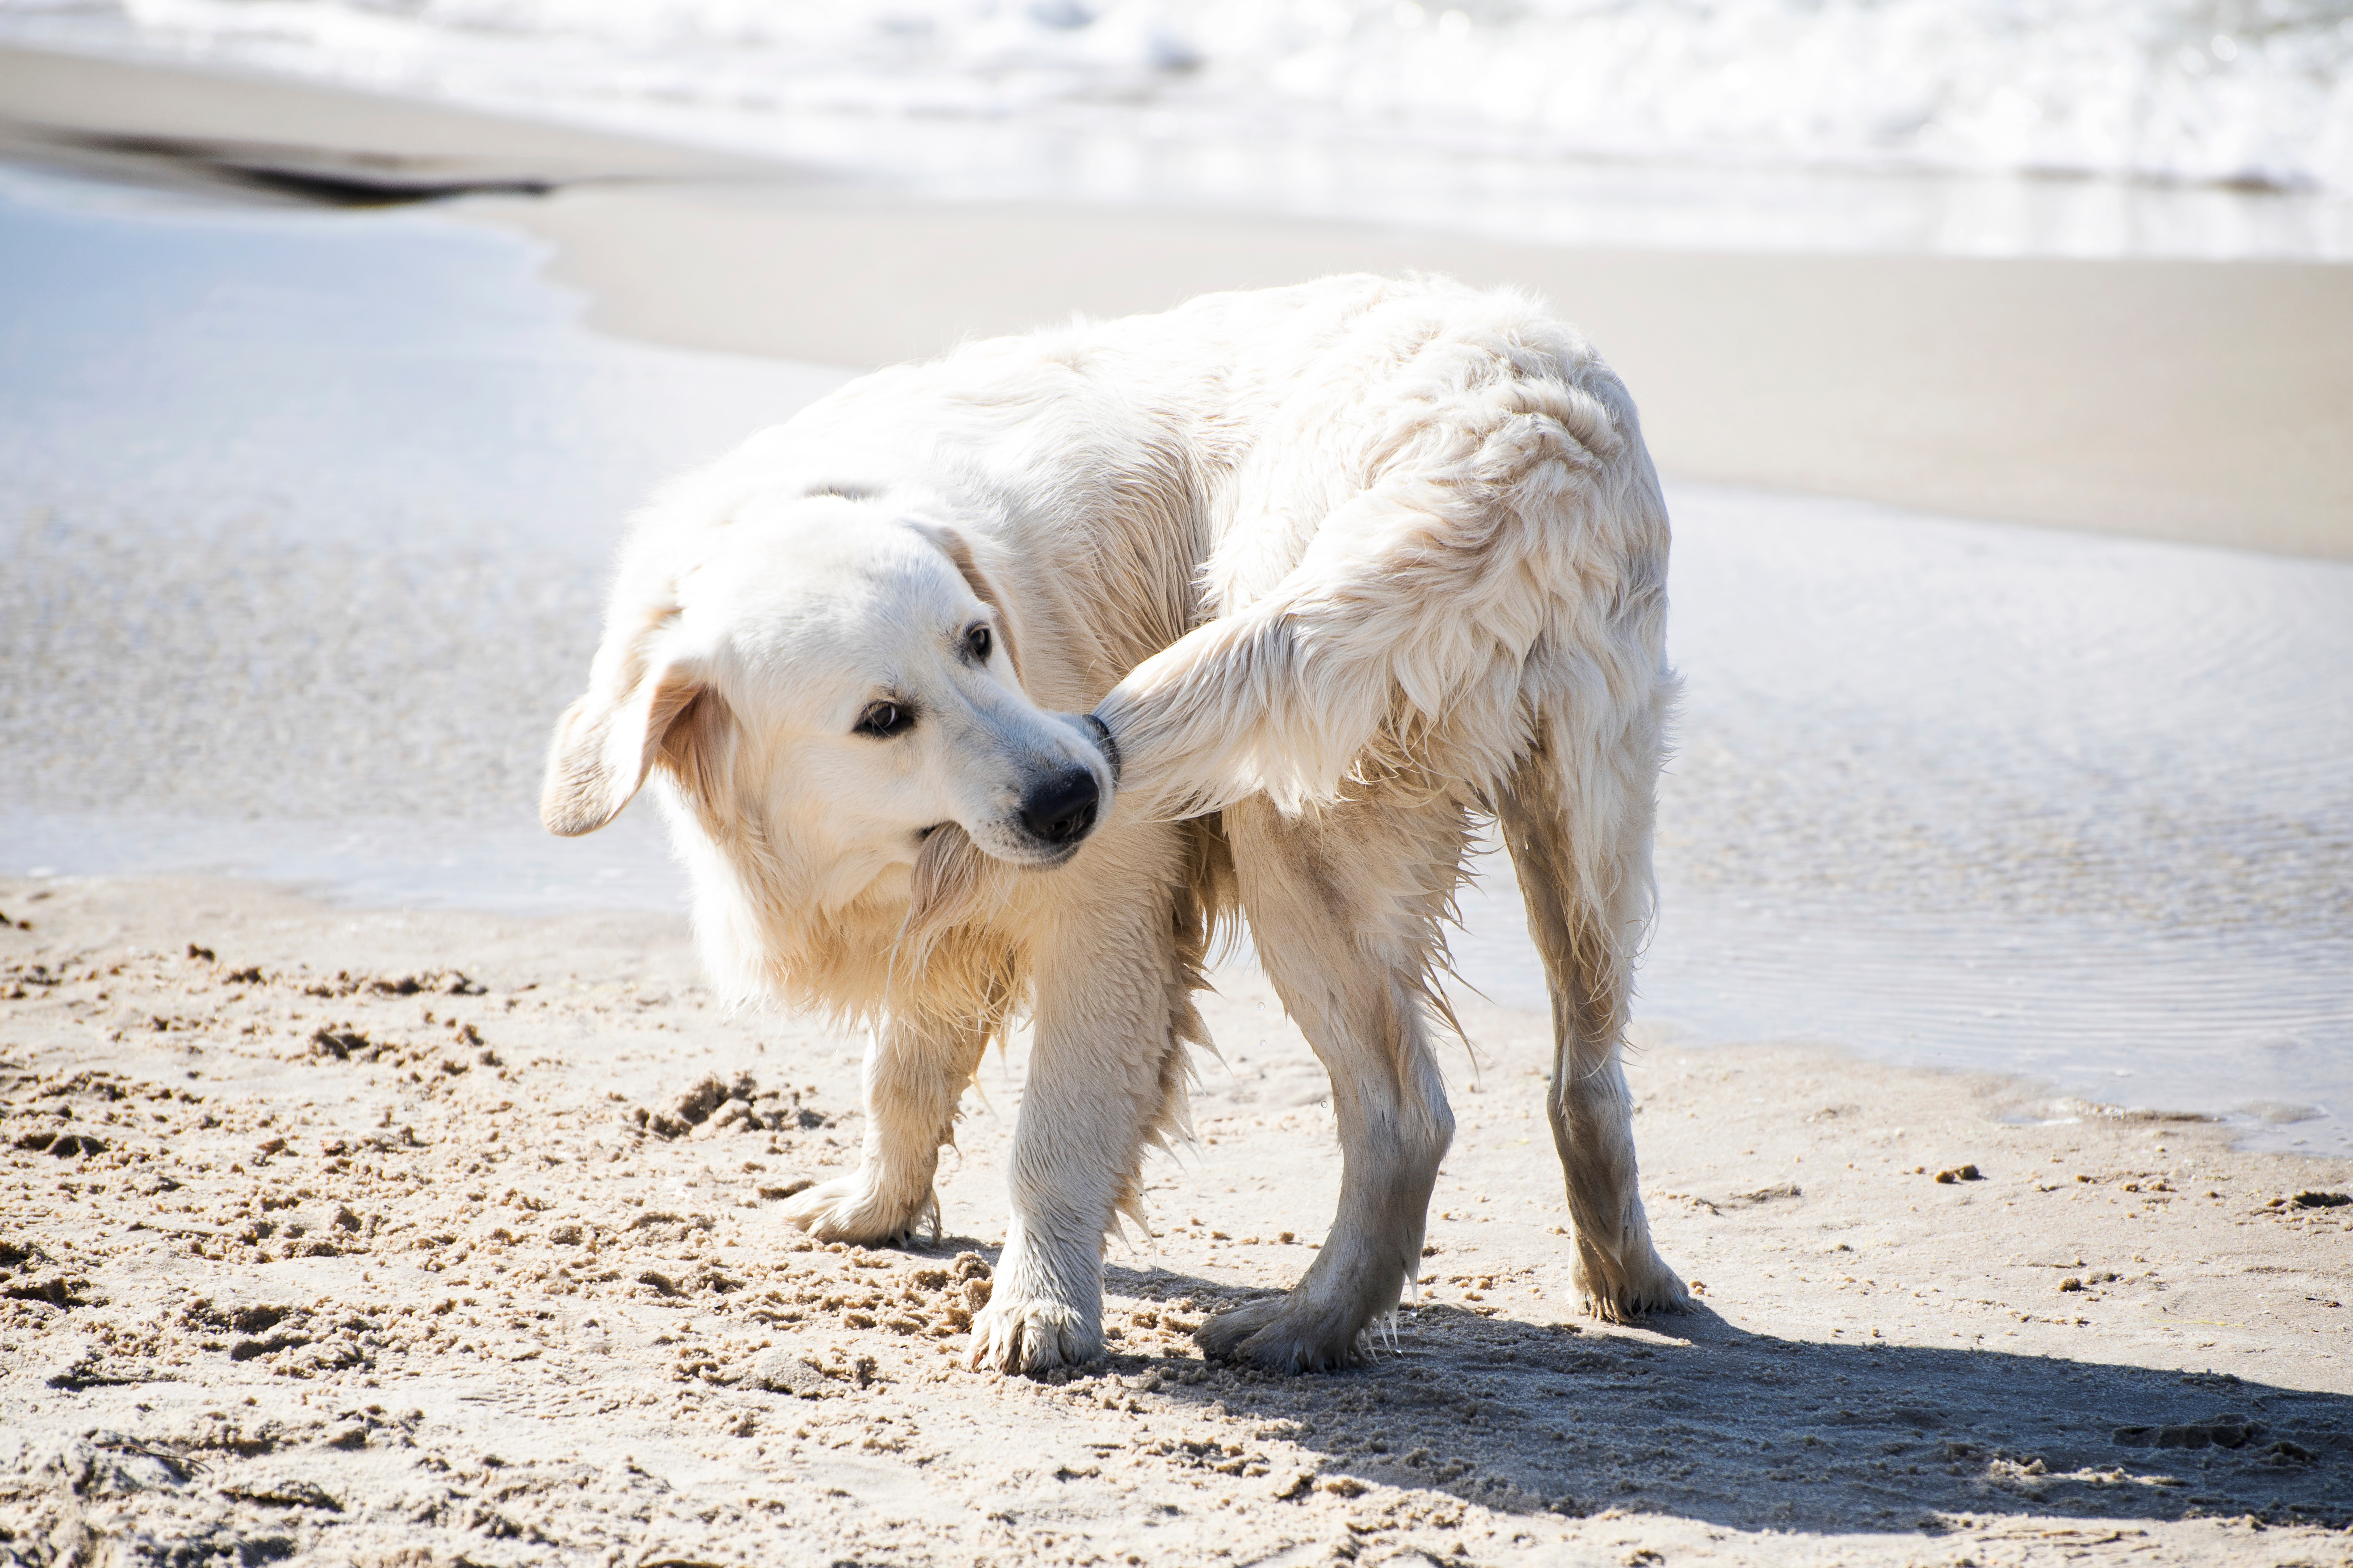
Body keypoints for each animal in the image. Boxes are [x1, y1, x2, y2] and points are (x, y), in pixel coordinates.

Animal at [546, 273, 1694, 1373]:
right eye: (882, 718)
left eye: (978, 640)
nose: (1076, 794)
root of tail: (1522, 432)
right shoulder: (944, 914)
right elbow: (902, 1074)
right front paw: (875, 1207)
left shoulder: (1107, 909)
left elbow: (1052, 1136)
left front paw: (1040, 1307)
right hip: (1583, 826)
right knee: (1587, 1078)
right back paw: (1626, 1278)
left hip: (1291, 823)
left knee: (1406, 1116)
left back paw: (1305, 1325)